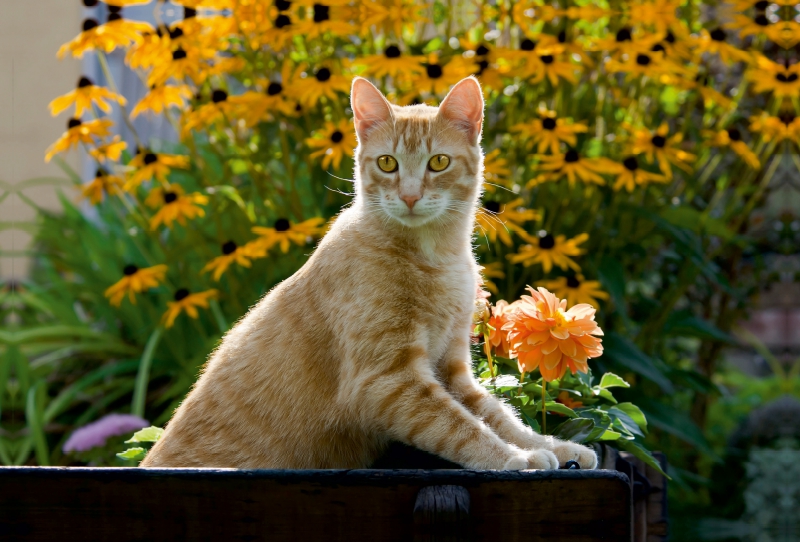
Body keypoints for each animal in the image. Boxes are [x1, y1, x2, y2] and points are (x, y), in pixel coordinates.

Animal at [142, 75, 592, 472]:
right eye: (387, 163)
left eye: (439, 162)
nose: (409, 196)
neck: (438, 257)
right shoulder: (388, 381)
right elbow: (462, 428)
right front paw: (517, 459)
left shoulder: (452, 369)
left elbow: (499, 415)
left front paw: (554, 446)